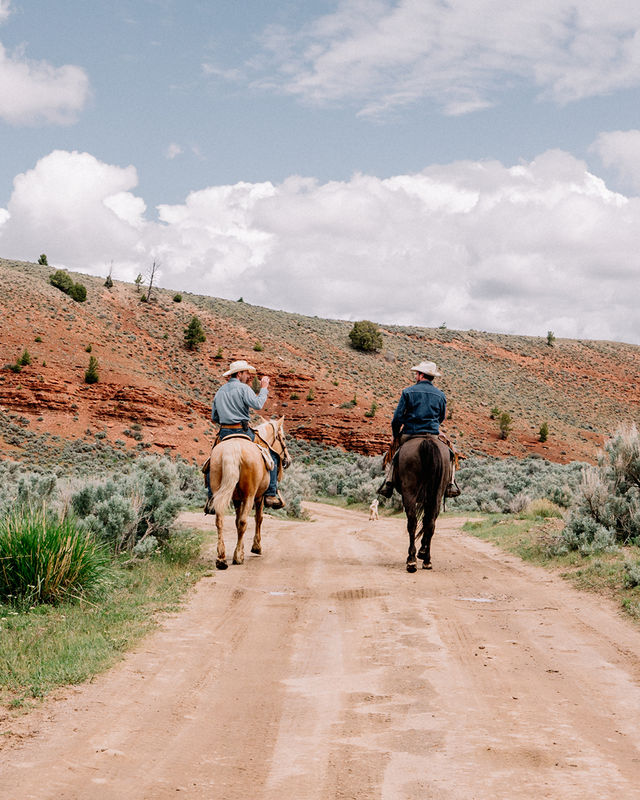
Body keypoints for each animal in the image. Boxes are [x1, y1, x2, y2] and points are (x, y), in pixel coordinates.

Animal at [208, 418, 290, 568]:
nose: (288, 459)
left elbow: (235, 521)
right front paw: (256, 547)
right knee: (243, 522)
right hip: (249, 496)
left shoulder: (236, 499)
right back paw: (238, 556)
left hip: (219, 489)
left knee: (219, 521)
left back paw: (221, 558)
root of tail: (233, 449)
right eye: (284, 437)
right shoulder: (259, 497)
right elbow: (258, 518)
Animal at [392, 434, 452, 572]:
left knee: (412, 524)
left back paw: (411, 560)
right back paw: (427, 560)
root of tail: (427, 441)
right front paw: (423, 552)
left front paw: (419, 553)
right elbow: (426, 521)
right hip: (436, 495)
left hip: (409, 493)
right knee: (430, 524)